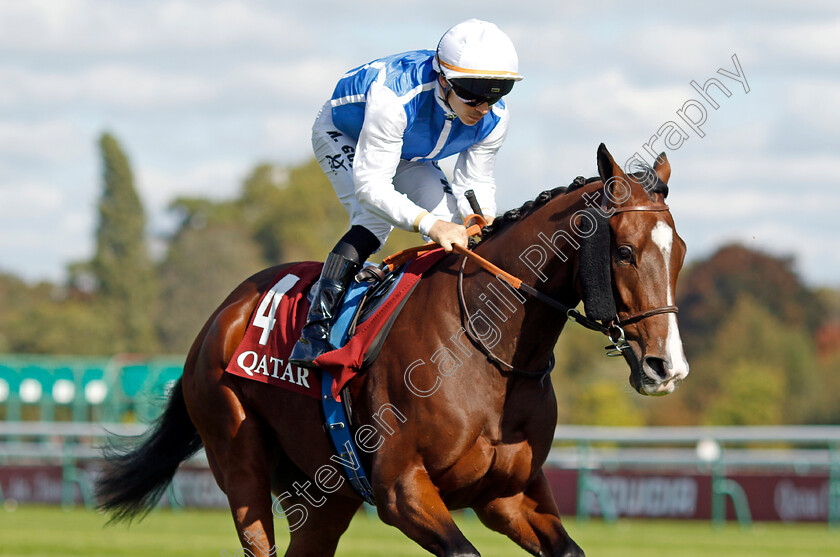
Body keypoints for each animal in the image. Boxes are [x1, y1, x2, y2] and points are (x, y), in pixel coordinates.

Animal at [97, 144, 688, 556]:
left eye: (679, 251)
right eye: (625, 251)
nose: (667, 367)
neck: (488, 357)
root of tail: (221, 316)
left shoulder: (508, 494)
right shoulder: (401, 490)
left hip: (324, 492)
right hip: (239, 459)